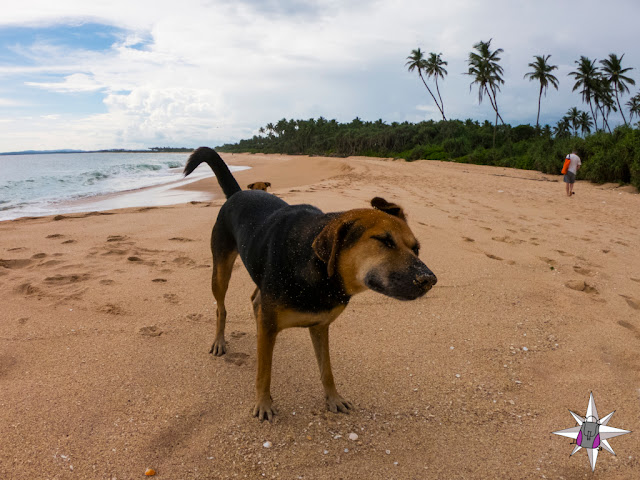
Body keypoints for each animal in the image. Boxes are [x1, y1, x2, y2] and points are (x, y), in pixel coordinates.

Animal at [182, 146, 438, 420]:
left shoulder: (320, 326)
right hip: (221, 270)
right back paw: (220, 341)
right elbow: (264, 372)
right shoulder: (276, 322)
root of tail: (238, 193)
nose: (429, 280)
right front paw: (263, 403)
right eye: (383, 241)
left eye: (416, 248)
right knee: (221, 307)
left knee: (255, 300)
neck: (321, 271)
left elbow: (327, 369)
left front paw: (333, 398)